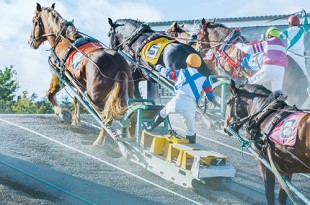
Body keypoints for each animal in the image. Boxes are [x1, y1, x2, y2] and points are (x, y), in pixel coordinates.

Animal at [27, 2, 133, 144]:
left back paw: (99, 142)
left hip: (97, 99)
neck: (63, 39)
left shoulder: (58, 77)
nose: (30, 41)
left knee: (106, 119)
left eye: (34, 21)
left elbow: (50, 94)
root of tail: (118, 65)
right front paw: (75, 120)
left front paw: (62, 113)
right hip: (128, 95)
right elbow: (77, 99)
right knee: (131, 117)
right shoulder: (78, 81)